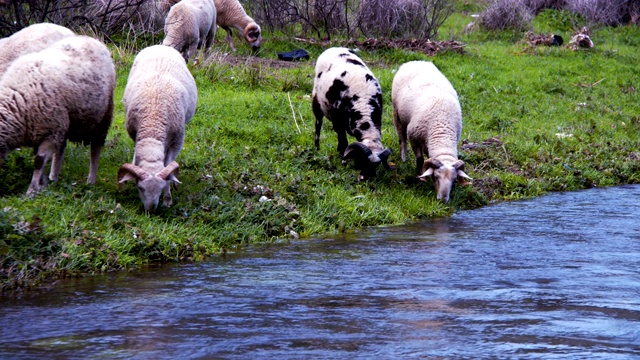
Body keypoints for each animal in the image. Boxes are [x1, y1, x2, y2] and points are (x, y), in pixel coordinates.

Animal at [0, 35, 115, 195]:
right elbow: (42, 159)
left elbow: (38, 161)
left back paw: (91, 181)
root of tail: (90, 39)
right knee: (61, 149)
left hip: (103, 116)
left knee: (95, 148)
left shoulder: (51, 131)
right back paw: (54, 178)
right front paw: (42, 185)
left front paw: (32, 190)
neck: (18, 103)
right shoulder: (45, 132)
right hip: (66, 122)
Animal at [117, 46, 198, 212]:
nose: (150, 210)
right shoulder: (135, 134)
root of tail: (162, 46)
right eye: (140, 188)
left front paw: (168, 198)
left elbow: (168, 165)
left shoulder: (177, 142)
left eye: (160, 190)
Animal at [312, 46, 396, 181]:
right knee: (318, 126)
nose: (366, 178)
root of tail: (333, 48)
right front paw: (343, 162)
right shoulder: (338, 122)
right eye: (362, 160)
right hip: (317, 102)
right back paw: (317, 149)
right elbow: (343, 143)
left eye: (376, 165)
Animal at [390, 60, 470, 204]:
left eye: (454, 180)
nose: (443, 200)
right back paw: (403, 157)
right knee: (401, 137)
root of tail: (416, 61)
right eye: (436, 177)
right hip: (397, 114)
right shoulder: (414, 138)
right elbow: (420, 159)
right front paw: (420, 176)